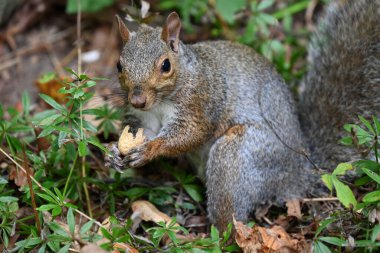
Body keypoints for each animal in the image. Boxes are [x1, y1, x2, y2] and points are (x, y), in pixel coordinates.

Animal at [104, 0, 380, 231]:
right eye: (119, 65)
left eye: (165, 65)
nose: (137, 100)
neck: (162, 101)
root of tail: (297, 173)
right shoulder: (145, 118)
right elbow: (142, 132)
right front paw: (114, 153)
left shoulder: (201, 101)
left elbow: (191, 133)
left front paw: (150, 150)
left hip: (236, 158)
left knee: (232, 218)